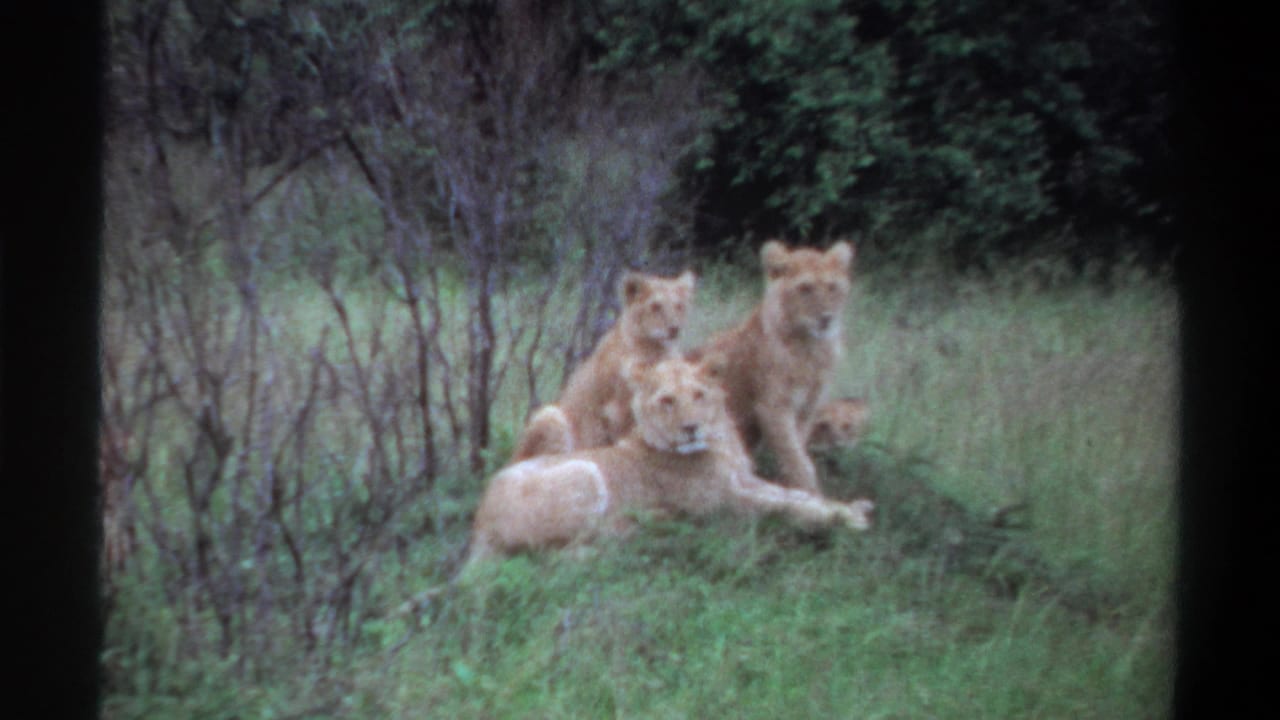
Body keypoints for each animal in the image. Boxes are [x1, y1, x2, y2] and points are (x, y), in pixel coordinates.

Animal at [468, 356, 874, 563]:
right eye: (666, 401)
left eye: (698, 395)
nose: (690, 428)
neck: (720, 441)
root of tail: (479, 521)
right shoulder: (724, 503)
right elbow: (786, 507)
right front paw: (845, 519)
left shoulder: (742, 479)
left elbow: (795, 495)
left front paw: (850, 506)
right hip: (584, 472)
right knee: (563, 552)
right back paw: (646, 525)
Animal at [511, 270, 695, 461]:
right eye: (656, 306)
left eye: (679, 306)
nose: (674, 329)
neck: (656, 349)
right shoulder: (617, 410)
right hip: (551, 416)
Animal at [688, 240, 854, 494]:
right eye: (805, 288)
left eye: (832, 287)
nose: (826, 318)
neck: (811, 349)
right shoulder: (773, 407)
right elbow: (797, 460)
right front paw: (811, 494)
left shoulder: (807, 408)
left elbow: (798, 451)